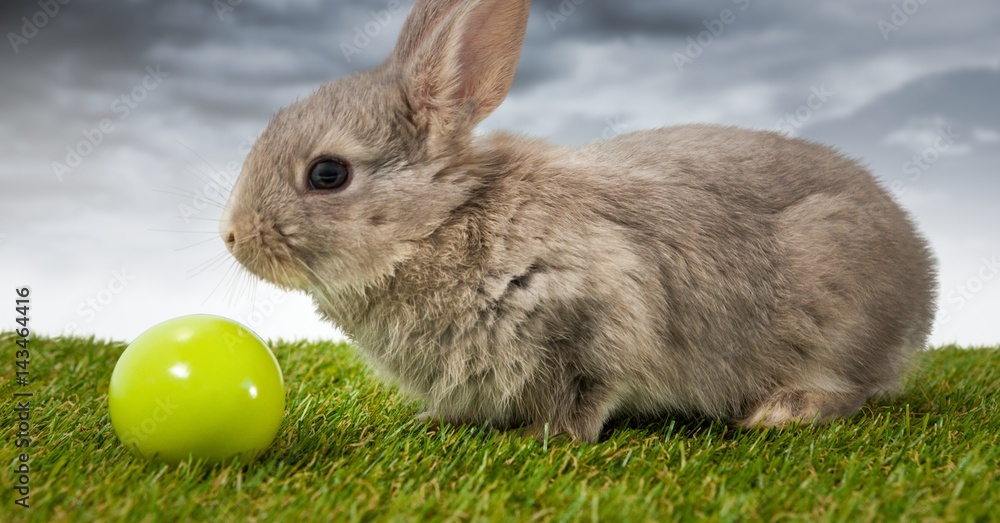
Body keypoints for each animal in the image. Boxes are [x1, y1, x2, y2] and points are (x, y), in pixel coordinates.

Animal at [219, 0, 936, 442]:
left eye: (328, 174)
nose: (232, 236)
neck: (441, 222)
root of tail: (921, 275)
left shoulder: (594, 311)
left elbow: (588, 388)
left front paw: (550, 437)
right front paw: (435, 422)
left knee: (850, 388)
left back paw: (781, 411)